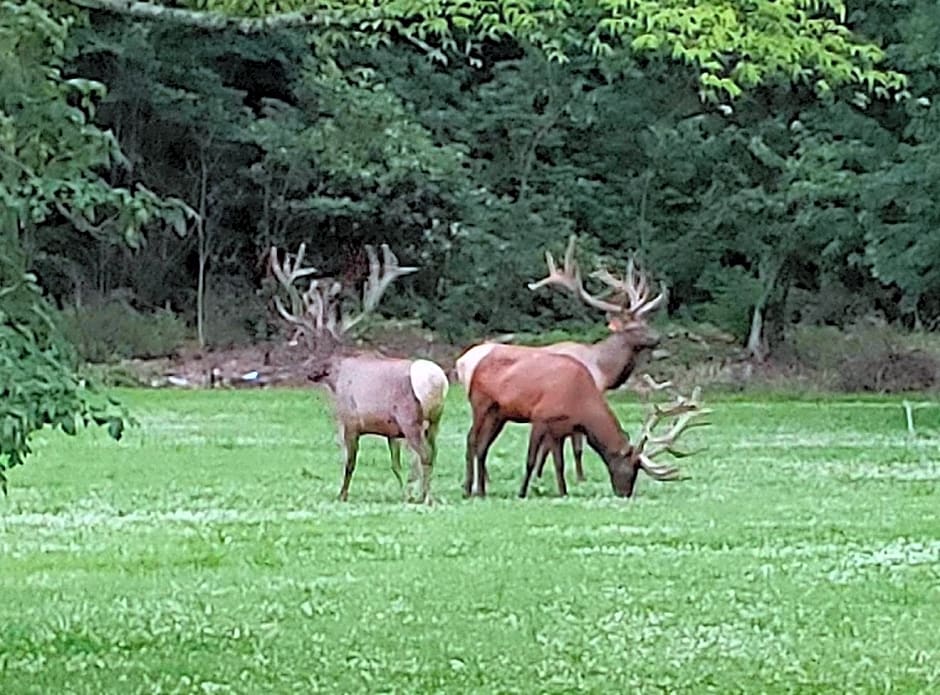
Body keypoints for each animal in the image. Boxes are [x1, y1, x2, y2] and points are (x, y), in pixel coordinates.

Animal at [270, 242, 450, 502]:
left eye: (310, 345)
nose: (310, 372)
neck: (337, 375)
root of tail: (438, 381)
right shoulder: (391, 431)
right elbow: (396, 464)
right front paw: (405, 493)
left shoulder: (350, 419)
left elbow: (350, 462)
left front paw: (342, 495)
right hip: (435, 419)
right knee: (432, 454)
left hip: (410, 417)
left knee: (425, 454)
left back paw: (427, 497)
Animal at [458, 234, 668, 484]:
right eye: (634, 327)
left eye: (647, 322)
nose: (658, 337)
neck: (602, 369)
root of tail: (460, 361)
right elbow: (574, 445)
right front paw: (579, 477)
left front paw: (540, 474)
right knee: (473, 437)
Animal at [462, 354, 704, 500]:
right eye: (630, 468)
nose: (625, 494)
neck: (580, 403)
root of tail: (477, 365)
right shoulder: (540, 418)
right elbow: (531, 460)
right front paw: (522, 493)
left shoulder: (561, 429)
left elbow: (559, 463)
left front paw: (563, 492)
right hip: (481, 404)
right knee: (472, 439)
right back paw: (470, 489)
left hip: (499, 415)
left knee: (483, 446)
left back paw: (479, 490)